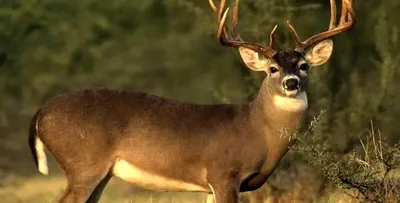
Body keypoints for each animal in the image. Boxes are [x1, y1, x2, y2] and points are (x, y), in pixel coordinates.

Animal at [26, 0, 354, 203]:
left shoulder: (211, 185)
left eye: (304, 66)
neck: (256, 130)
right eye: (272, 68)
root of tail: (40, 114)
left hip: (99, 172)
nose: (291, 82)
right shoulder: (224, 174)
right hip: (83, 164)